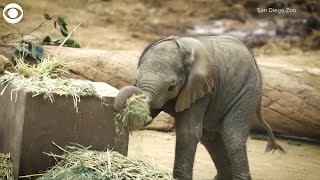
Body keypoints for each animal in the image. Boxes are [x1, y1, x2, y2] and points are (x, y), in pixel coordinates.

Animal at [115, 35, 284, 180]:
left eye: (171, 87)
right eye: (136, 79)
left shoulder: (201, 88)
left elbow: (188, 132)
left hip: (247, 93)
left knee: (232, 135)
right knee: (211, 138)